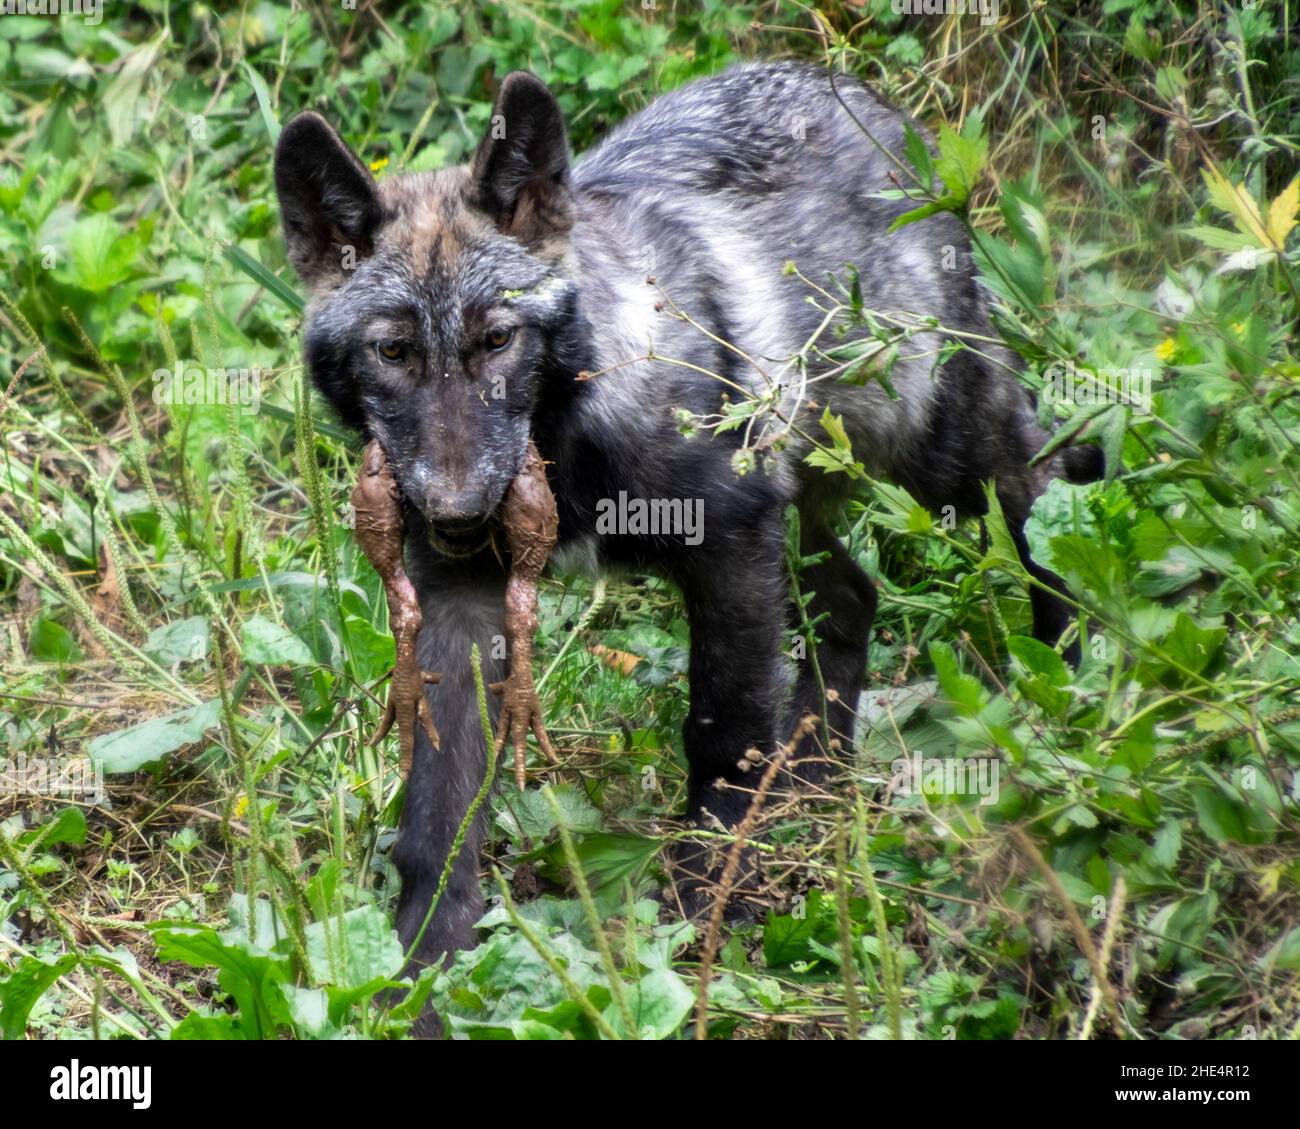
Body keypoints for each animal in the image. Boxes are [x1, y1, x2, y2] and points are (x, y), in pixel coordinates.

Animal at [276, 59, 1097, 1014]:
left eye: (498, 339)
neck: (573, 438)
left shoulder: (728, 546)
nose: (454, 511)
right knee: (855, 599)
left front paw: (709, 917)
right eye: (393, 352)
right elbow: (437, 814)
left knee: (1048, 506)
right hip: (808, 506)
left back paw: (1062, 697)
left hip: (942, 465)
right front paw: (421, 979)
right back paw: (810, 781)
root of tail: (857, 94)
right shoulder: (459, 603)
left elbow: (719, 732)